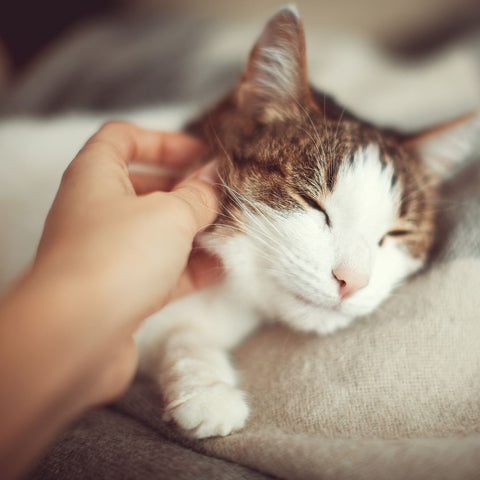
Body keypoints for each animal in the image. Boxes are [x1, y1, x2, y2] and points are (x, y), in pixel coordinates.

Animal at [134, 4, 480, 438]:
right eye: (311, 203)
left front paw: (205, 385)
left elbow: (178, 336)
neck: (225, 289)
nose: (353, 281)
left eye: (396, 233)